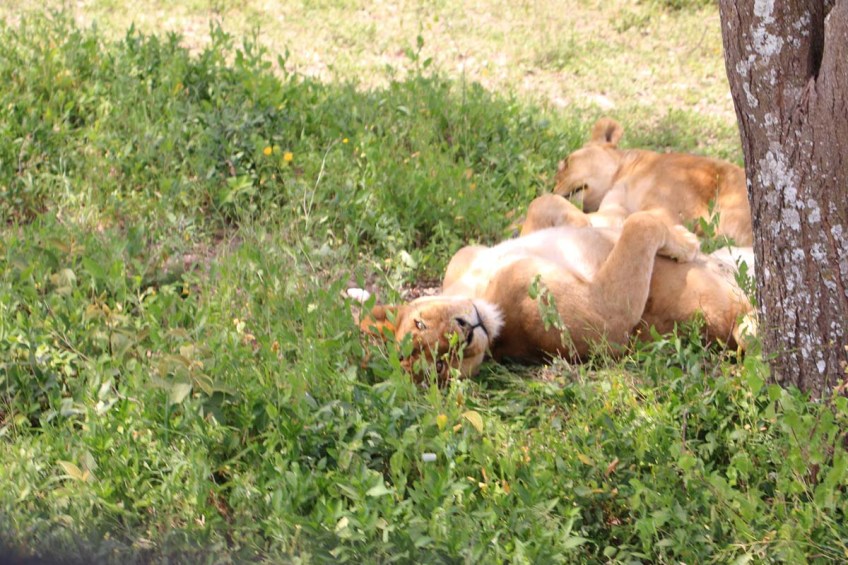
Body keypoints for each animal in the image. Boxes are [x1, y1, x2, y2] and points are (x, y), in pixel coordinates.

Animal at [355, 194, 754, 382]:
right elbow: (639, 226)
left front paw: (592, 220)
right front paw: (684, 241)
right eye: (443, 364)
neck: (482, 284)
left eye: (420, 323)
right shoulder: (607, 322)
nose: (464, 333)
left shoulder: (467, 254)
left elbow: (545, 203)